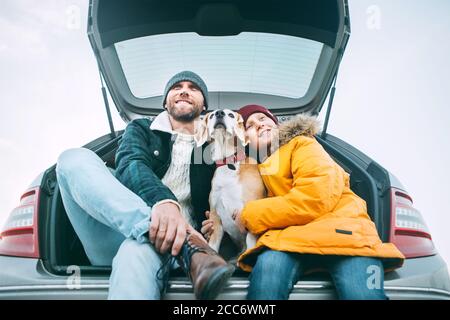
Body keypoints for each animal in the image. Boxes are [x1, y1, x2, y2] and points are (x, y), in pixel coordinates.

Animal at [194, 110, 268, 255]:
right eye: (211, 115)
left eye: (231, 115)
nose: (219, 113)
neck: (228, 164)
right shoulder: (215, 218)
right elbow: (213, 246)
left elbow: (250, 244)